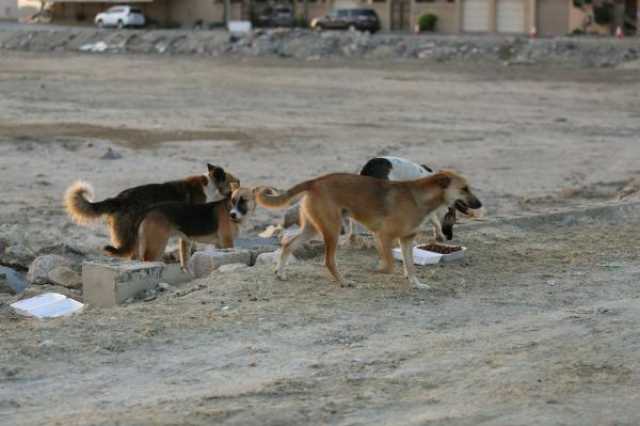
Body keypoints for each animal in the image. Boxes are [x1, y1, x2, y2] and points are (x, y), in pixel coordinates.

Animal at [255, 171, 480, 288]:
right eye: (464, 189)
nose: (480, 204)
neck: (420, 197)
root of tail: (315, 181)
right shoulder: (384, 236)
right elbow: (390, 265)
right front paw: (377, 270)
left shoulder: (406, 239)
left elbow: (410, 266)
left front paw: (416, 284)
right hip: (332, 230)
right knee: (328, 261)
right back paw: (343, 281)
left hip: (314, 229)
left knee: (287, 243)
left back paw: (280, 272)